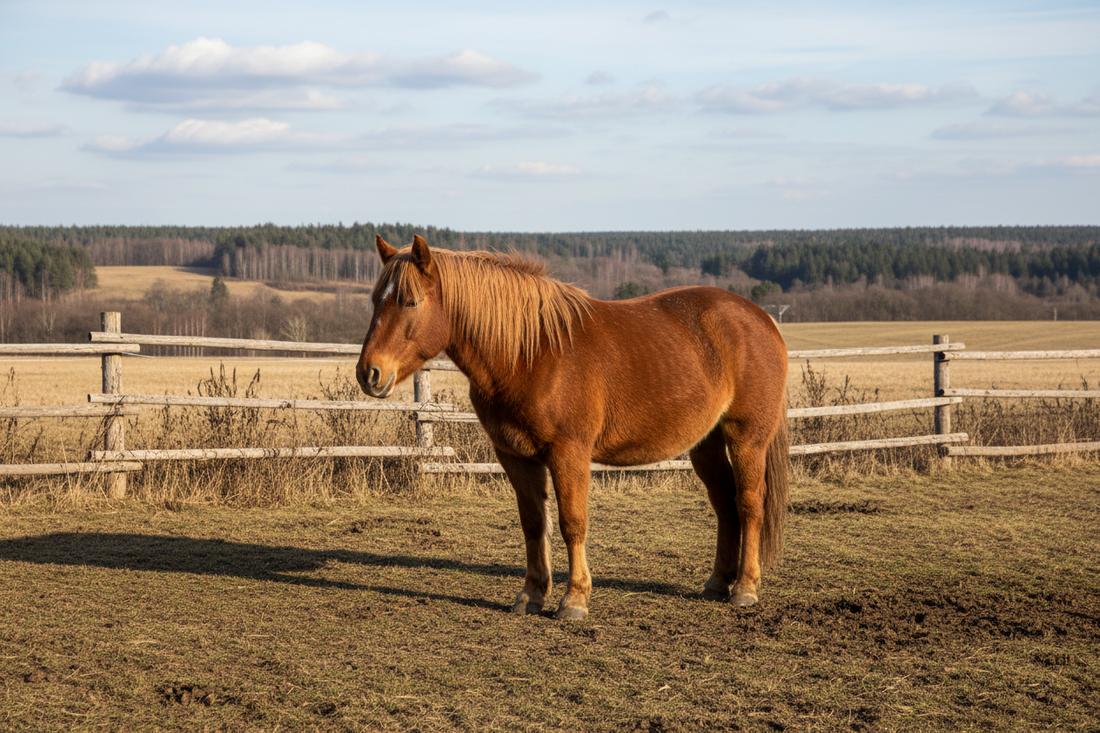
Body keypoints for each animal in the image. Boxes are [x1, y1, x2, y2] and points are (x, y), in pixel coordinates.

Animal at [357, 234, 789, 620]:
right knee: (725, 505)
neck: (531, 354)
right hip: (707, 444)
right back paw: (717, 584)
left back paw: (745, 588)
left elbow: (572, 523)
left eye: (410, 301)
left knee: (749, 503)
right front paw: (531, 595)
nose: (369, 373)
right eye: (375, 300)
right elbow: (534, 523)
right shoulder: (515, 456)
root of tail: (762, 318)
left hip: (747, 439)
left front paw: (574, 599)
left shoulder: (569, 454)